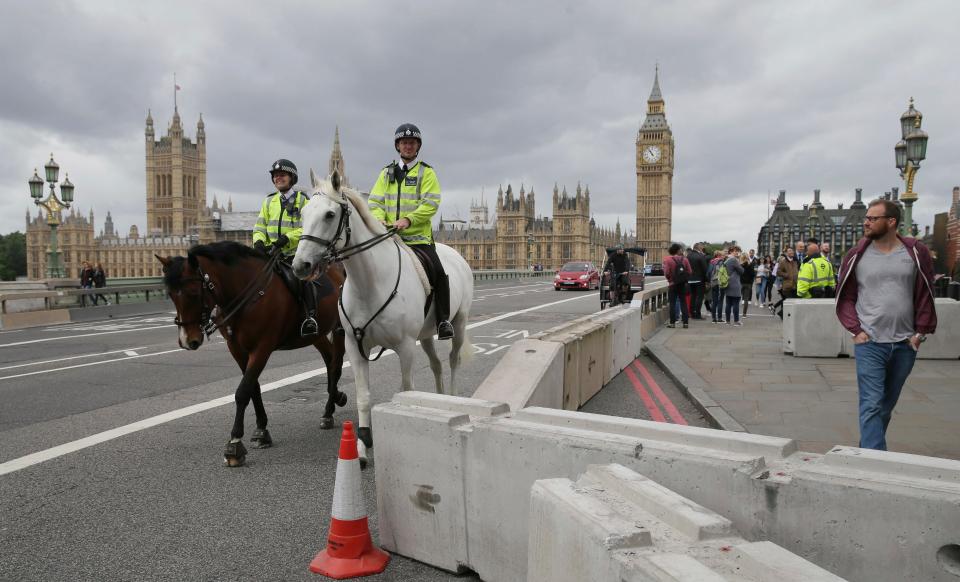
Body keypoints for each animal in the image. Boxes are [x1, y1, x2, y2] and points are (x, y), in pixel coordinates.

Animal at [158, 243, 348, 470]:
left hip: (339, 329)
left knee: (336, 364)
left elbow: (243, 391)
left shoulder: (262, 347)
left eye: (194, 292)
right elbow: (253, 388)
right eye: (170, 294)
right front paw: (261, 430)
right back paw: (333, 403)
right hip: (316, 335)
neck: (248, 294)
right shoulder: (237, 349)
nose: (188, 340)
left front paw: (234, 445)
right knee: (329, 359)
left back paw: (330, 407)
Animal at [290, 169, 474, 466]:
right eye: (304, 213)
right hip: (425, 334)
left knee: (453, 359)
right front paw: (363, 444)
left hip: (458, 323)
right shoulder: (355, 347)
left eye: (330, 214)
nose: (300, 265)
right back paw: (439, 399)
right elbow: (364, 397)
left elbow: (405, 389)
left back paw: (453, 397)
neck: (369, 284)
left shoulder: (406, 346)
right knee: (436, 364)